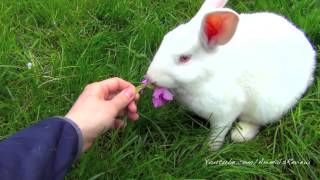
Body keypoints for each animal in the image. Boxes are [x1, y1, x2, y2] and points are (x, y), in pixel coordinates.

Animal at [146, 0, 316, 149]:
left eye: (184, 58)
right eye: (165, 40)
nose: (150, 77)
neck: (206, 76)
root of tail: (310, 54)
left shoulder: (225, 114)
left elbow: (218, 133)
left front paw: (209, 149)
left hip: (267, 107)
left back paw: (240, 134)